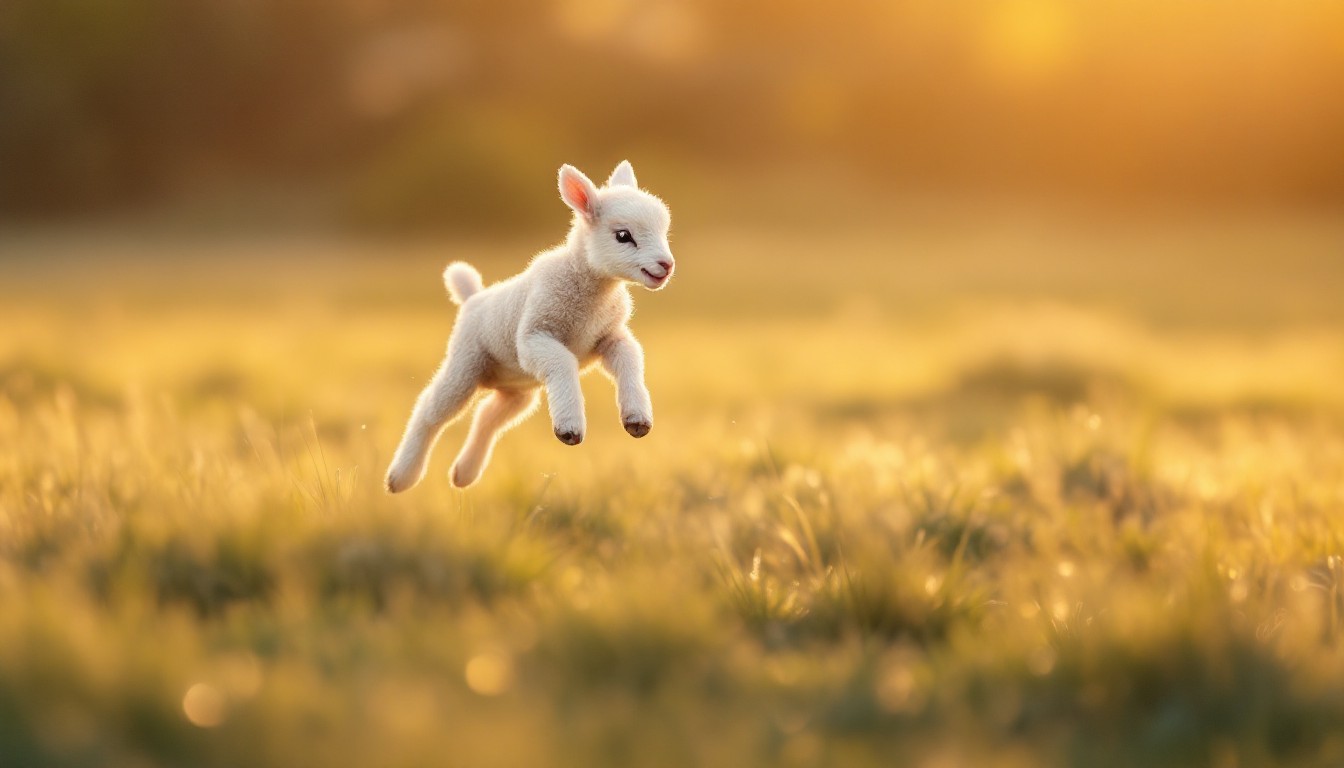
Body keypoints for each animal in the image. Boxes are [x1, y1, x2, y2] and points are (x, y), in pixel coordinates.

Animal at [384, 160, 675, 492]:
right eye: (624, 235)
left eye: (664, 230)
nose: (666, 265)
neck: (592, 292)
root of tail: (472, 296)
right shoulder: (533, 335)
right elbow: (563, 361)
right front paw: (569, 427)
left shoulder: (608, 336)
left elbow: (630, 356)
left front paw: (637, 419)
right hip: (466, 363)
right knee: (430, 411)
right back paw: (402, 477)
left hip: (517, 387)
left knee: (488, 415)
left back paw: (464, 473)